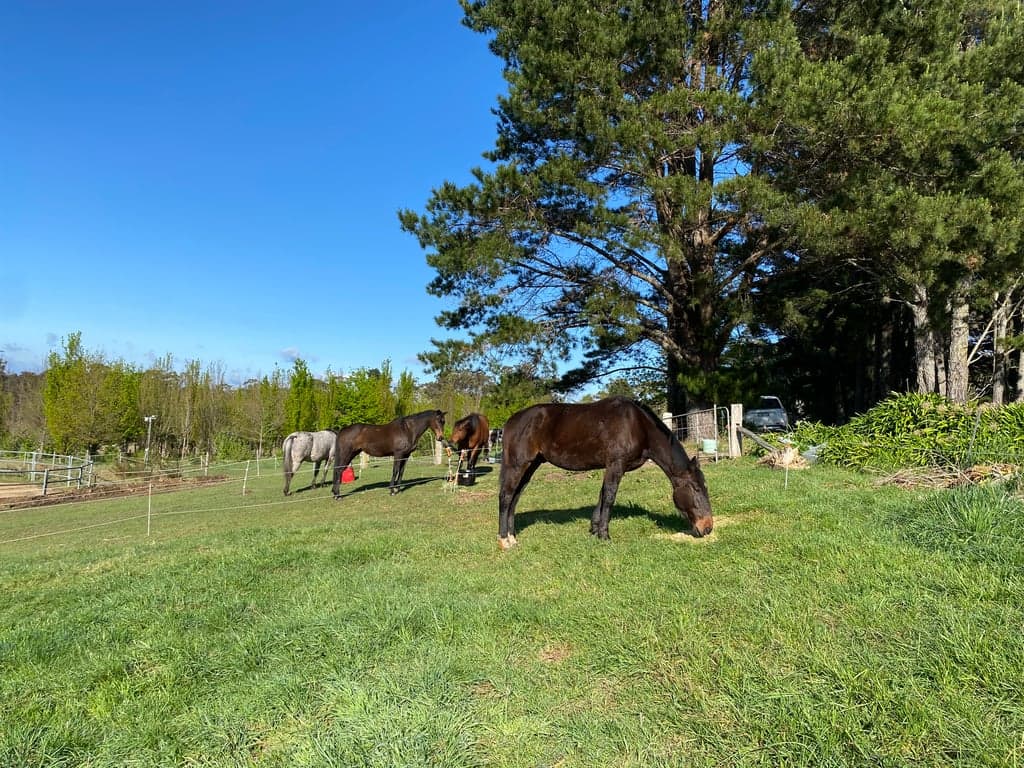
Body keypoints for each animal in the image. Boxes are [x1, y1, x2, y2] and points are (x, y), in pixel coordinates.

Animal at [497, 396, 713, 549]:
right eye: (696, 488)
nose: (708, 527)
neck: (637, 425)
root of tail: (511, 421)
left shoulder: (611, 467)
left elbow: (602, 496)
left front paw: (594, 530)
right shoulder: (616, 465)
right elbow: (609, 497)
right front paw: (604, 535)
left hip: (531, 466)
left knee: (515, 498)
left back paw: (512, 538)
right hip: (518, 464)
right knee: (506, 497)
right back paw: (504, 540)